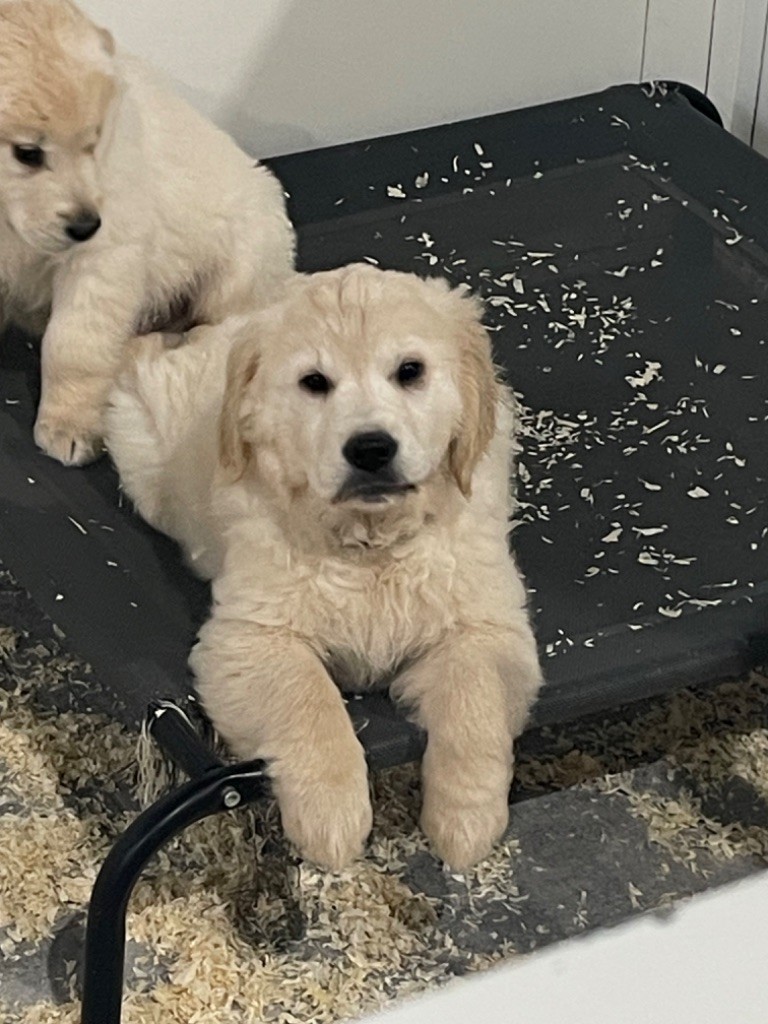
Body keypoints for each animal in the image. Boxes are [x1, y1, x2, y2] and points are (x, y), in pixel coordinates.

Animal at [0, 0, 294, 465]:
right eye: (27, 154)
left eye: (94, 143)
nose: (86, 226)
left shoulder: (103, 258)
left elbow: (72, 345)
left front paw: (69, 426)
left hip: (242, 264)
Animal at [106, 264, 542, 871]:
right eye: (314, 382)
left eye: (410, 371)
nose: (371, 448)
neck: (371, 546)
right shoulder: (249, 639)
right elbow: (309, 701)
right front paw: (331, 816)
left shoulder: (488, 626)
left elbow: (474, 699)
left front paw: (466, 820)